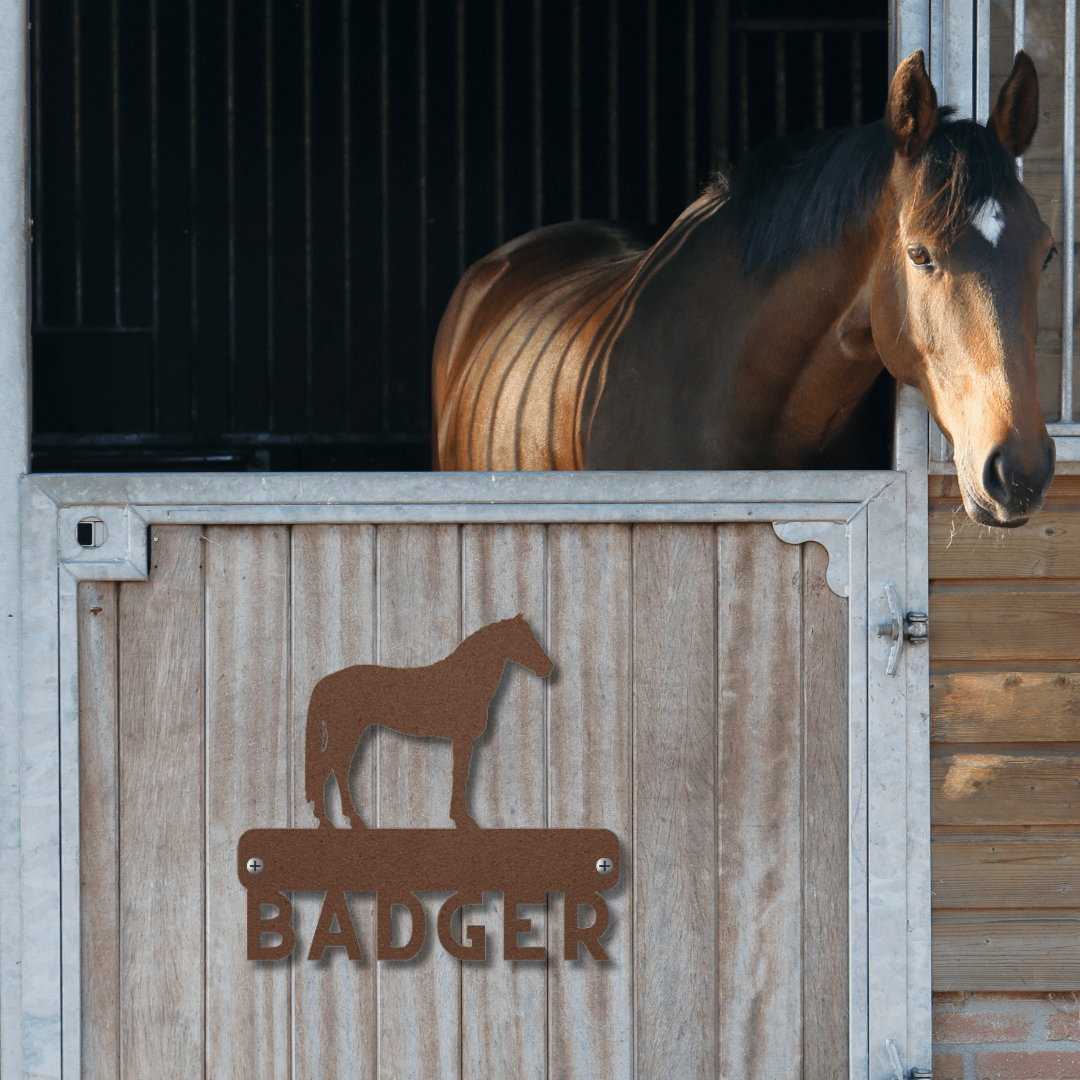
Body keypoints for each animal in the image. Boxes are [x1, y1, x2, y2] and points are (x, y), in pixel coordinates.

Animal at [306, 613, 552, 829]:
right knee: (328, 766)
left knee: (336, 767)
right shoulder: (462, 739)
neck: (465, 679)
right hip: (346, 733)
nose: (547, 667)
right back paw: (330, 820)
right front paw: (464, 820)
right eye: (523, 638)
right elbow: (460, 774)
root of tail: (324, 683)